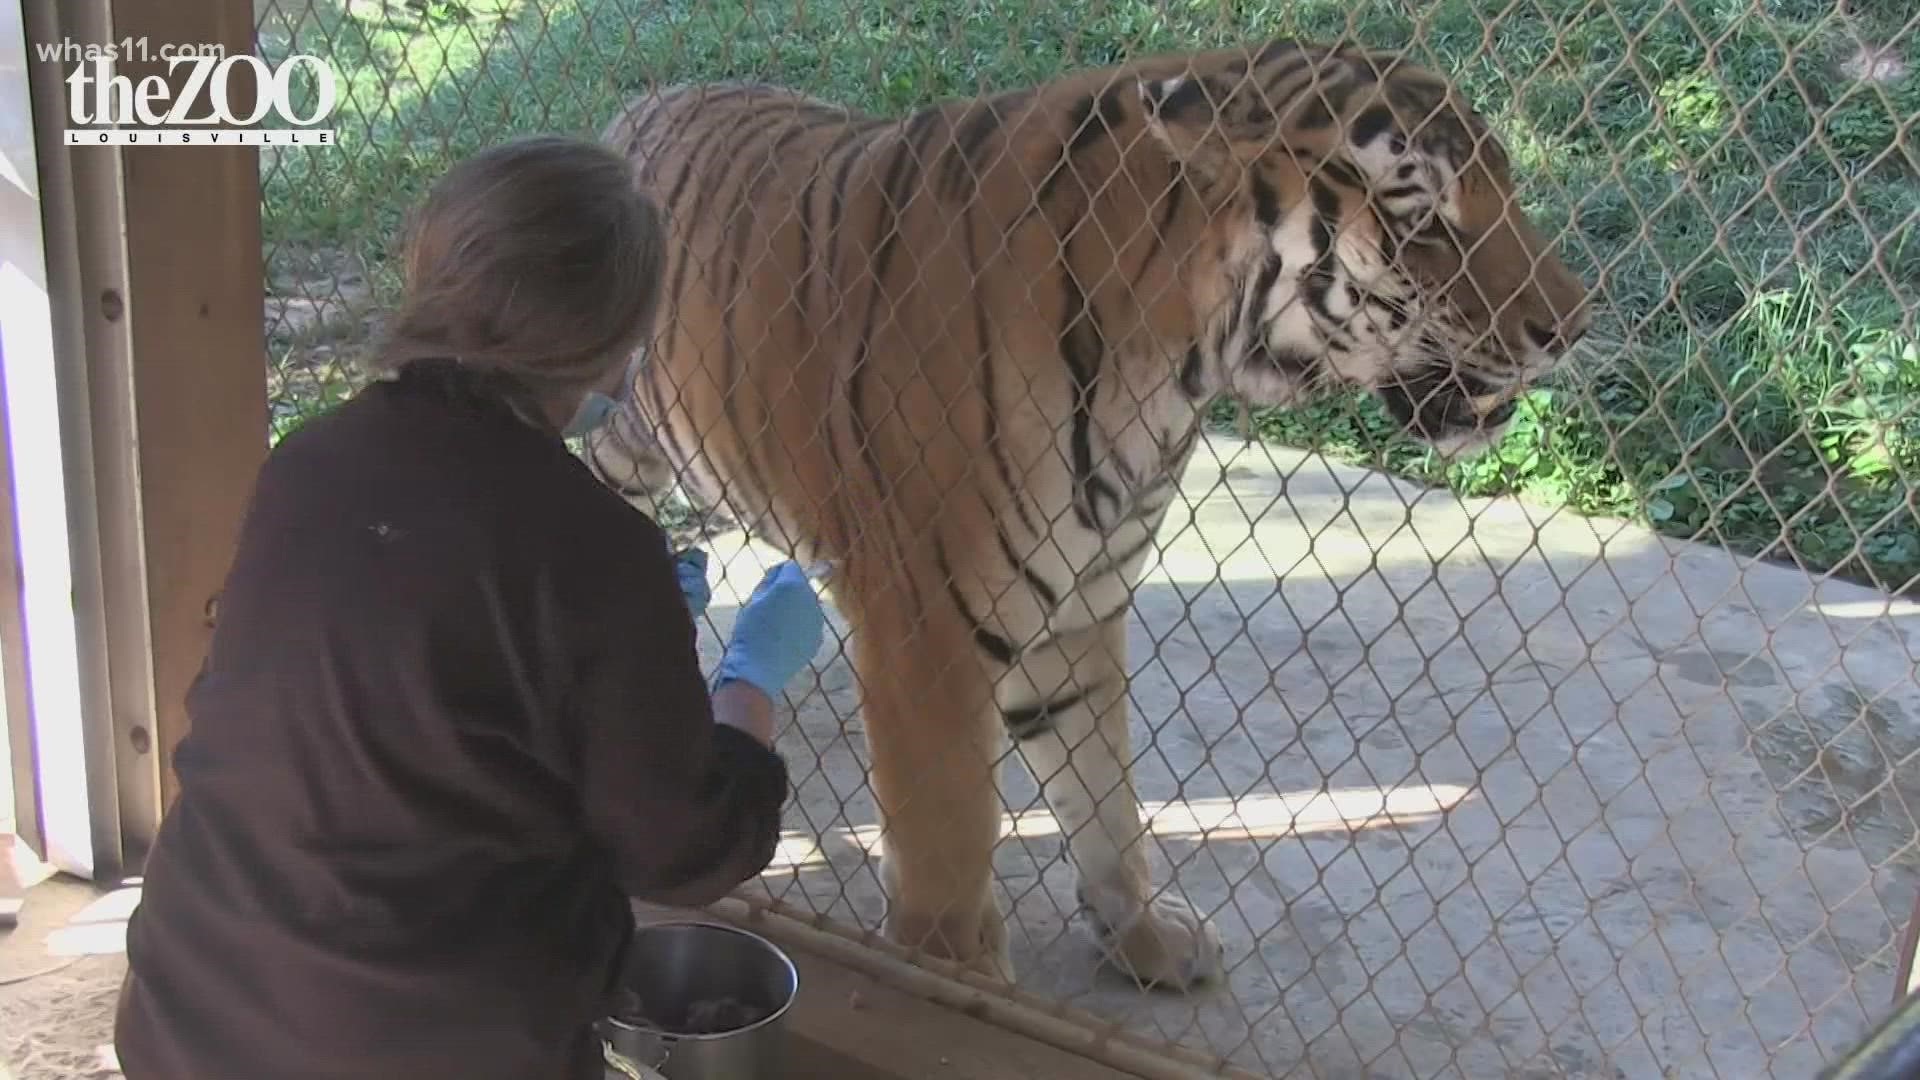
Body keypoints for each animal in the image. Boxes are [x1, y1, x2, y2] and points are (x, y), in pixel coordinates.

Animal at [587, 37, 1589, 991]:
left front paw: (1142, 936)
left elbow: (1106, 798)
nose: (1571, 329)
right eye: (1426, 220)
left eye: (1508, 188)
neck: (1179, 363)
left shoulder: (1079, 602)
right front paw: (956, 986)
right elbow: (950, 842)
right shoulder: (926, 626)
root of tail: (645, 102)